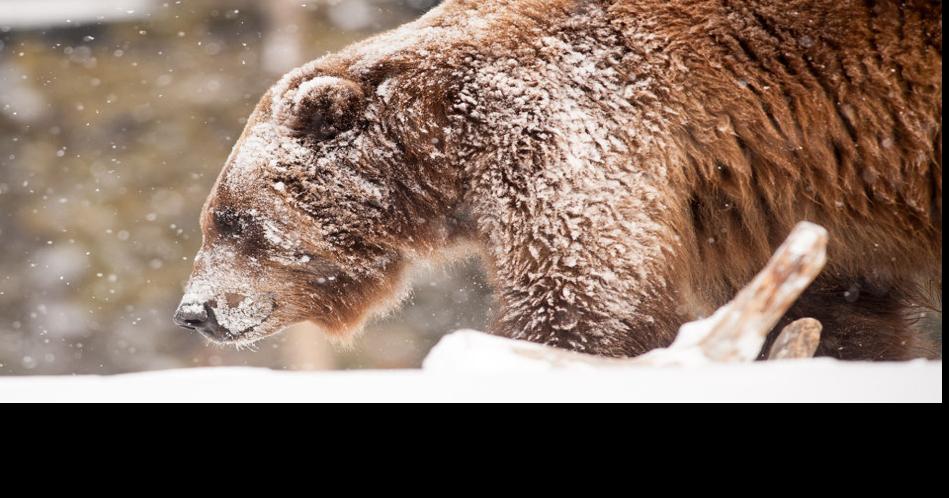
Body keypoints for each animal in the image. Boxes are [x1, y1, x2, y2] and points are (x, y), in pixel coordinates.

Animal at [175, 0, 942, 361]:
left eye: (233, 220)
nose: (193, 311)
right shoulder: (776, 199)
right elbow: (834, 306)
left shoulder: (573, 134)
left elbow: (581, 295)